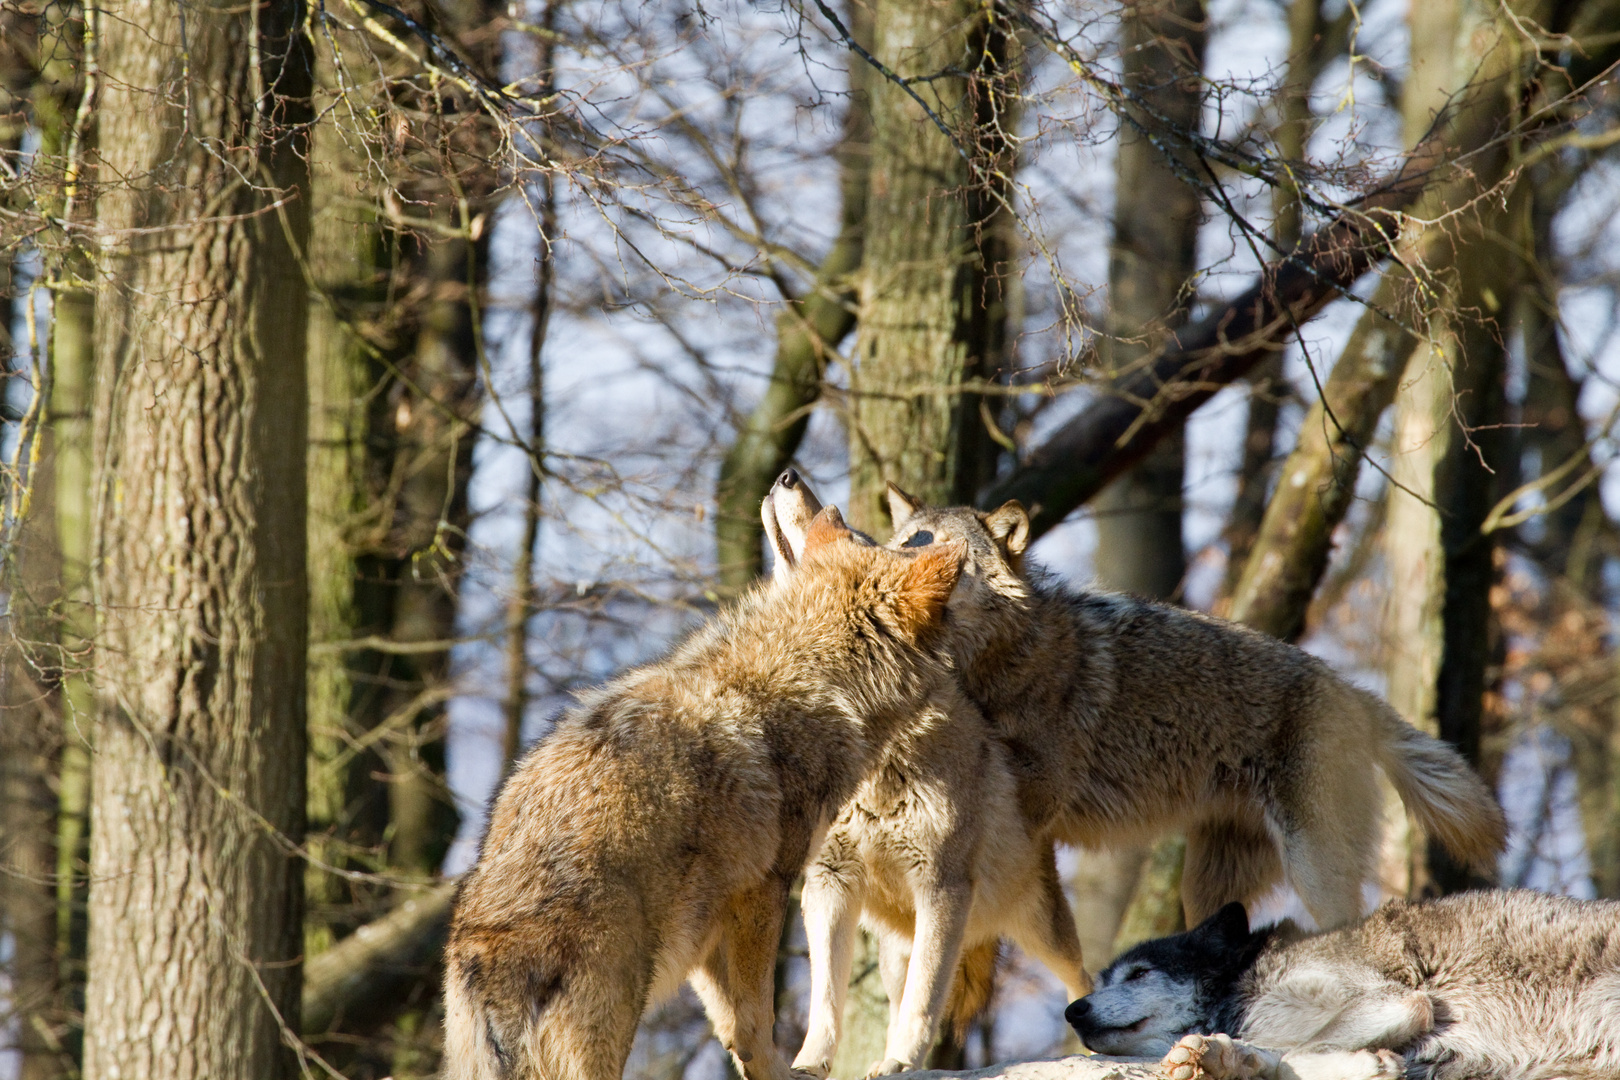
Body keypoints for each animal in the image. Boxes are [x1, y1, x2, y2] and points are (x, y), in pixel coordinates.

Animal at [440, 514, 972, 1080]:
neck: (806, 675)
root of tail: (486, 951)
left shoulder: (703, 921)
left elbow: (733, 1027)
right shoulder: (765, 888)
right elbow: (756, 1019)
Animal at [1069, 893, 1613, 1080]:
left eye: (1138, 974)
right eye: (1102, 981)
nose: (1073, 1010)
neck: (1242, 984)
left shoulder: (1398, 999)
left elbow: (1296, 1048)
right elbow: (1276, 1053)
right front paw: (1223, 1058)